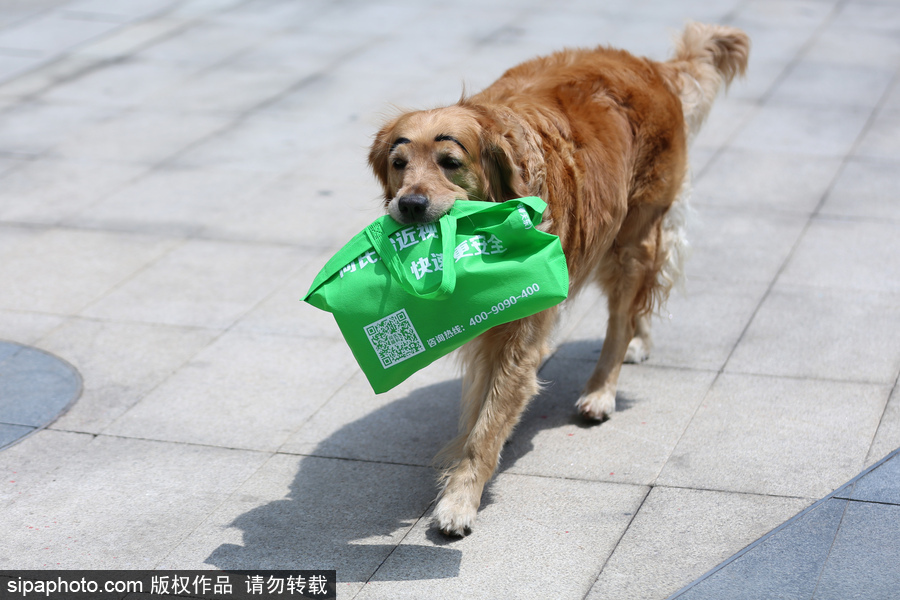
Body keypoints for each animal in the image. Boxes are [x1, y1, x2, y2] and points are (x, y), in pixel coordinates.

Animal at [368, 22, 752, 536]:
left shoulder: (521, 332)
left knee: (622, 315)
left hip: (633, 237)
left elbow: (489, 421)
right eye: (399, 163)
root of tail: (651, 66)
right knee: (638, 303)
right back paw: (639, 340)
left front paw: (460, 499)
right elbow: (481, 409)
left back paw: (602, 389)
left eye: (450, 161)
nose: (408, 204)